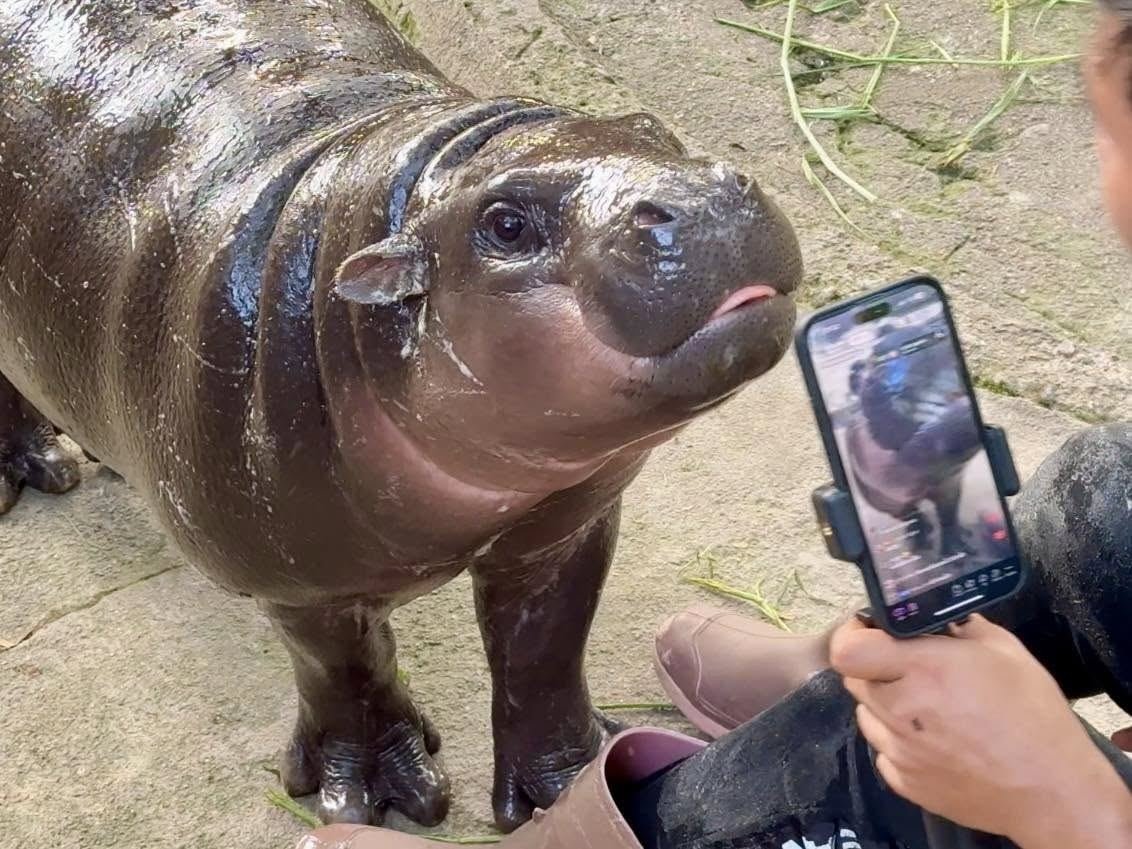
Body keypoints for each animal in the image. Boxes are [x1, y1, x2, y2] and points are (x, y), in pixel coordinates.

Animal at [0, 0, 801, 832]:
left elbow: (545, 652)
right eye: (506, 224)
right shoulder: (306, 589)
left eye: (653, 129)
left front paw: (574, 782)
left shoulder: (566, 526)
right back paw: (36, 472)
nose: (711, 198)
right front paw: (378, 798)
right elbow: (348, 673)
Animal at [844, 324, 982, 559]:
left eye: (887, 329)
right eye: (856, 371)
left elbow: (949, 516)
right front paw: (921, 542)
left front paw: (959, 548)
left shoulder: (951, 485)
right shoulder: (884, 499)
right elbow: (911, 516)